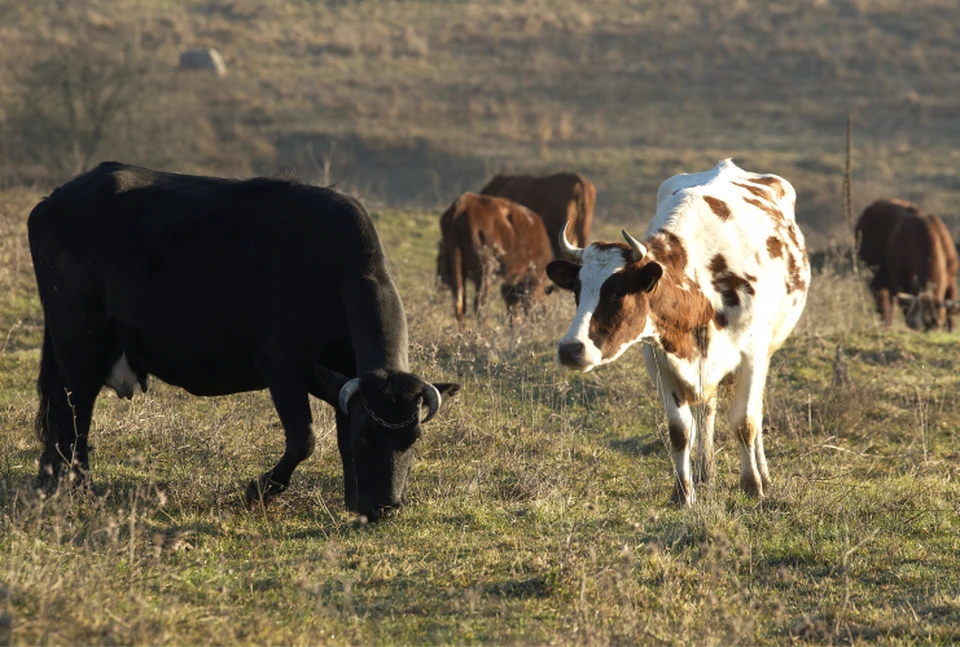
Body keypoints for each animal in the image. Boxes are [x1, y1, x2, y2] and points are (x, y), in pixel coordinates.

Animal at [28, 162, 460, 520]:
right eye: (368, 436)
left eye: (414, 438)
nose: (387, 506)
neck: (329, 271)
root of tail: (55, 199)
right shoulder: (280, 366)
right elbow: (304, 439)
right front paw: (259, 490)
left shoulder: (341, 377)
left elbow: (338, 439)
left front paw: (353, 498)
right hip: (79, 342)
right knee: (77, 412)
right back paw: (81, 485)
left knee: (60, 411)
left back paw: (52, 477)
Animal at [436, 192, 552, 324]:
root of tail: (462, 206)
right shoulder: (533, 280)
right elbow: (527, 309)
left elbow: (514, 312)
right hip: (485, 270)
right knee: (480, 305)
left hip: (455, 264)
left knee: (460, 304)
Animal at [544, 159, 808, 504]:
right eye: (576, 290)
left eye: (616, 292)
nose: (570, 349)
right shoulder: (660, 358)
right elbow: (681, 430)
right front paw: (683, 492)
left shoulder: (752, 354)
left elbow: (745, 422)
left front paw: (752, 486)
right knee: (706, 410)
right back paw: (705, 473)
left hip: (767, 350)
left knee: (755, 409)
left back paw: (761, 472)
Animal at [856, 199, 960, 332]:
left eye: (935, 326)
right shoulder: (898, 283)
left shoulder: (951, 280)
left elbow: (950, 312)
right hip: (874, 276)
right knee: (883, 303)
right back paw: (886, 325)